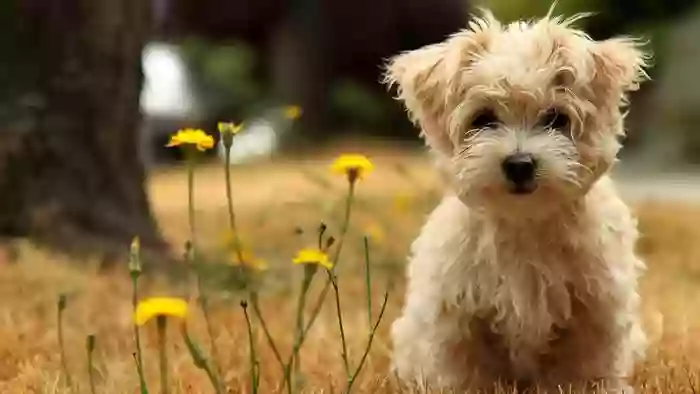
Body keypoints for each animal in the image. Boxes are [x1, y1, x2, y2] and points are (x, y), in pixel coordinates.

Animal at [382, 6, 652, 394]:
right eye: (482, 119)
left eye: (556, 118)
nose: (520, 164)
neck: (525, 224)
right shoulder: (457, 316)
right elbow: (466, 373)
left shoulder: (596, 310)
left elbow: (585, 370)